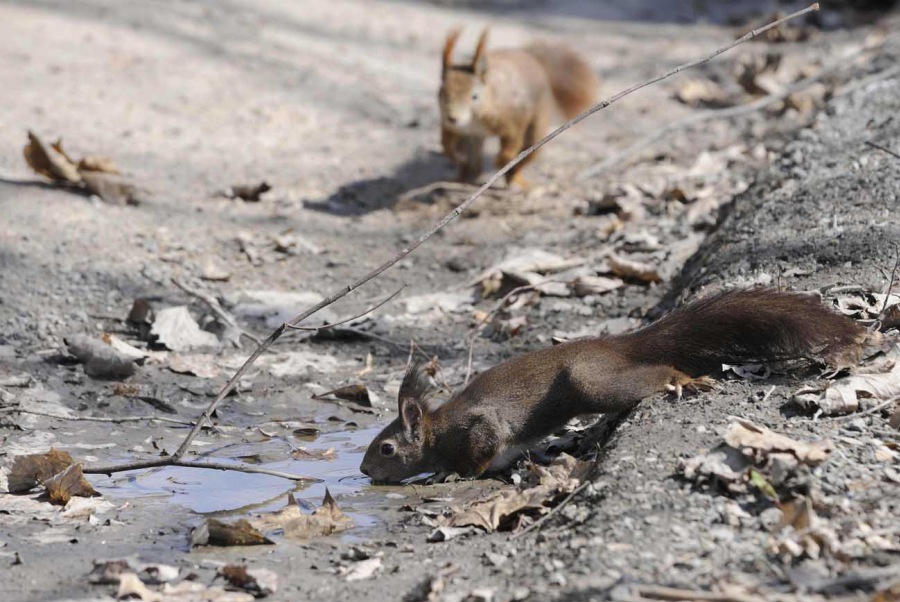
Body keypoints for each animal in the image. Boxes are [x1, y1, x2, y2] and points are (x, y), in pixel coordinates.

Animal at [360, 289, 865, 483]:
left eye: (386, 448)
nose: (363, 471)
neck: (437, 432)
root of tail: (614, 345)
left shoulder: (477, 426)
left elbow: (482, 451)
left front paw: (448, 474)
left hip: (590, 381)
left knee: (654, 373)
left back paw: (682, 380)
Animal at [438, 28, 599, 189]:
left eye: (474, 96)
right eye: (442, 92)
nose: (452, 118)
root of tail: (535, 62)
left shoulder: (514, 120)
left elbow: (511, 143)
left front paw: (501, 160)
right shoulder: (452, 128)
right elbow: (446, 143)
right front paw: (456, 156)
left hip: (537, 125)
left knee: (523, 155)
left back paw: (516, 179)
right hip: (472, 139)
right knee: (472, 163)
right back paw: (462, 178)